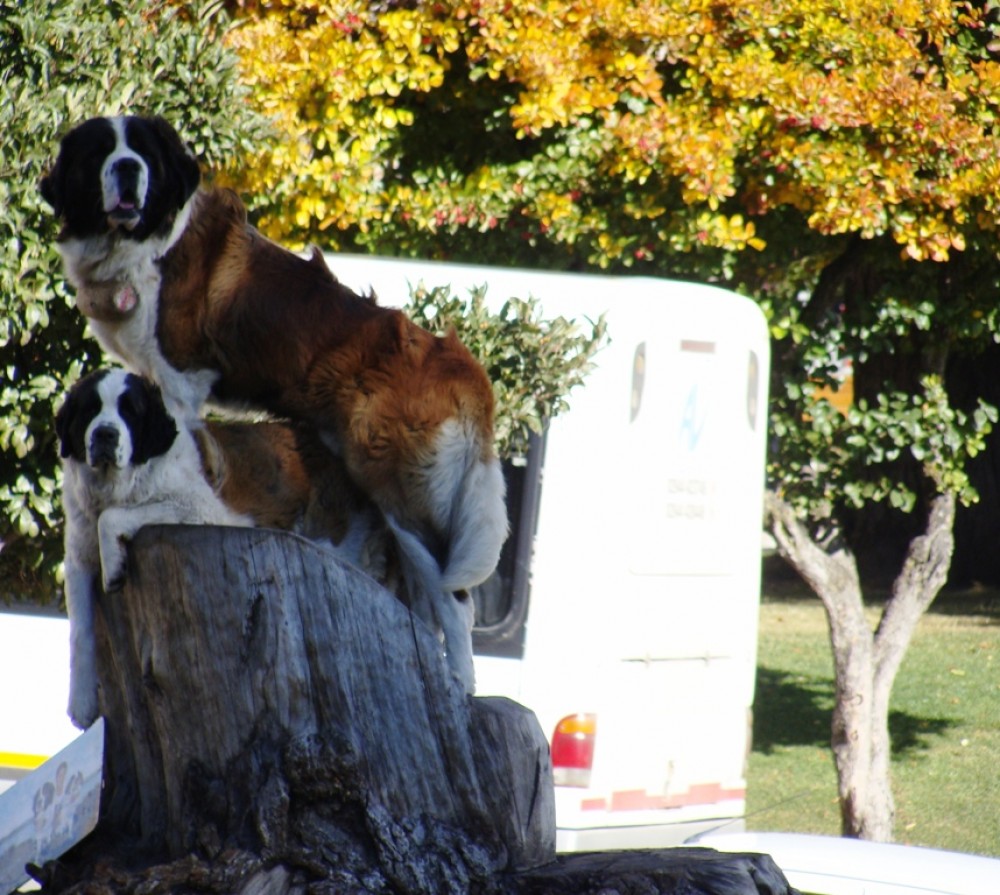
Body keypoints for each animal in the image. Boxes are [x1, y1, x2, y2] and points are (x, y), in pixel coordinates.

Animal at [39, 115, 508, 600]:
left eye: (143, 151)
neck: (149, 243)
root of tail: (455, 359)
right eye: (101, 150)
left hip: (404, 492)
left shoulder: (180, 379)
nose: (128, 167)